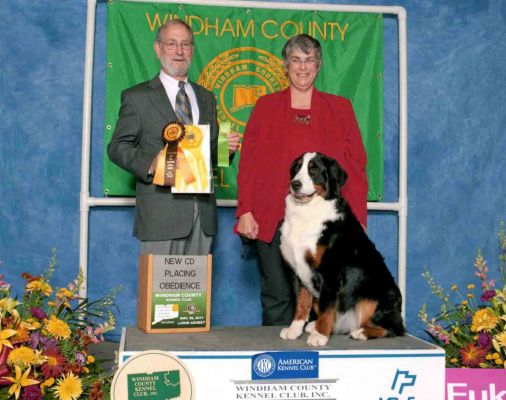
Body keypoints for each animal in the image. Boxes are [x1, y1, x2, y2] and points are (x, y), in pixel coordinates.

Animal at [278, 152, 406, 346]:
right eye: (296, 168)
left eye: (314, 170)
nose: (295, 184)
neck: (306, 211)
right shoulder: (297, 270)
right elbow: (301, 303)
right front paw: (294, 330)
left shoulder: (330, 270)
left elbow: (327, 307)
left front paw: (320, 335)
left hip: (378, 296)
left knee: (394, 329)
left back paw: (359, 332)